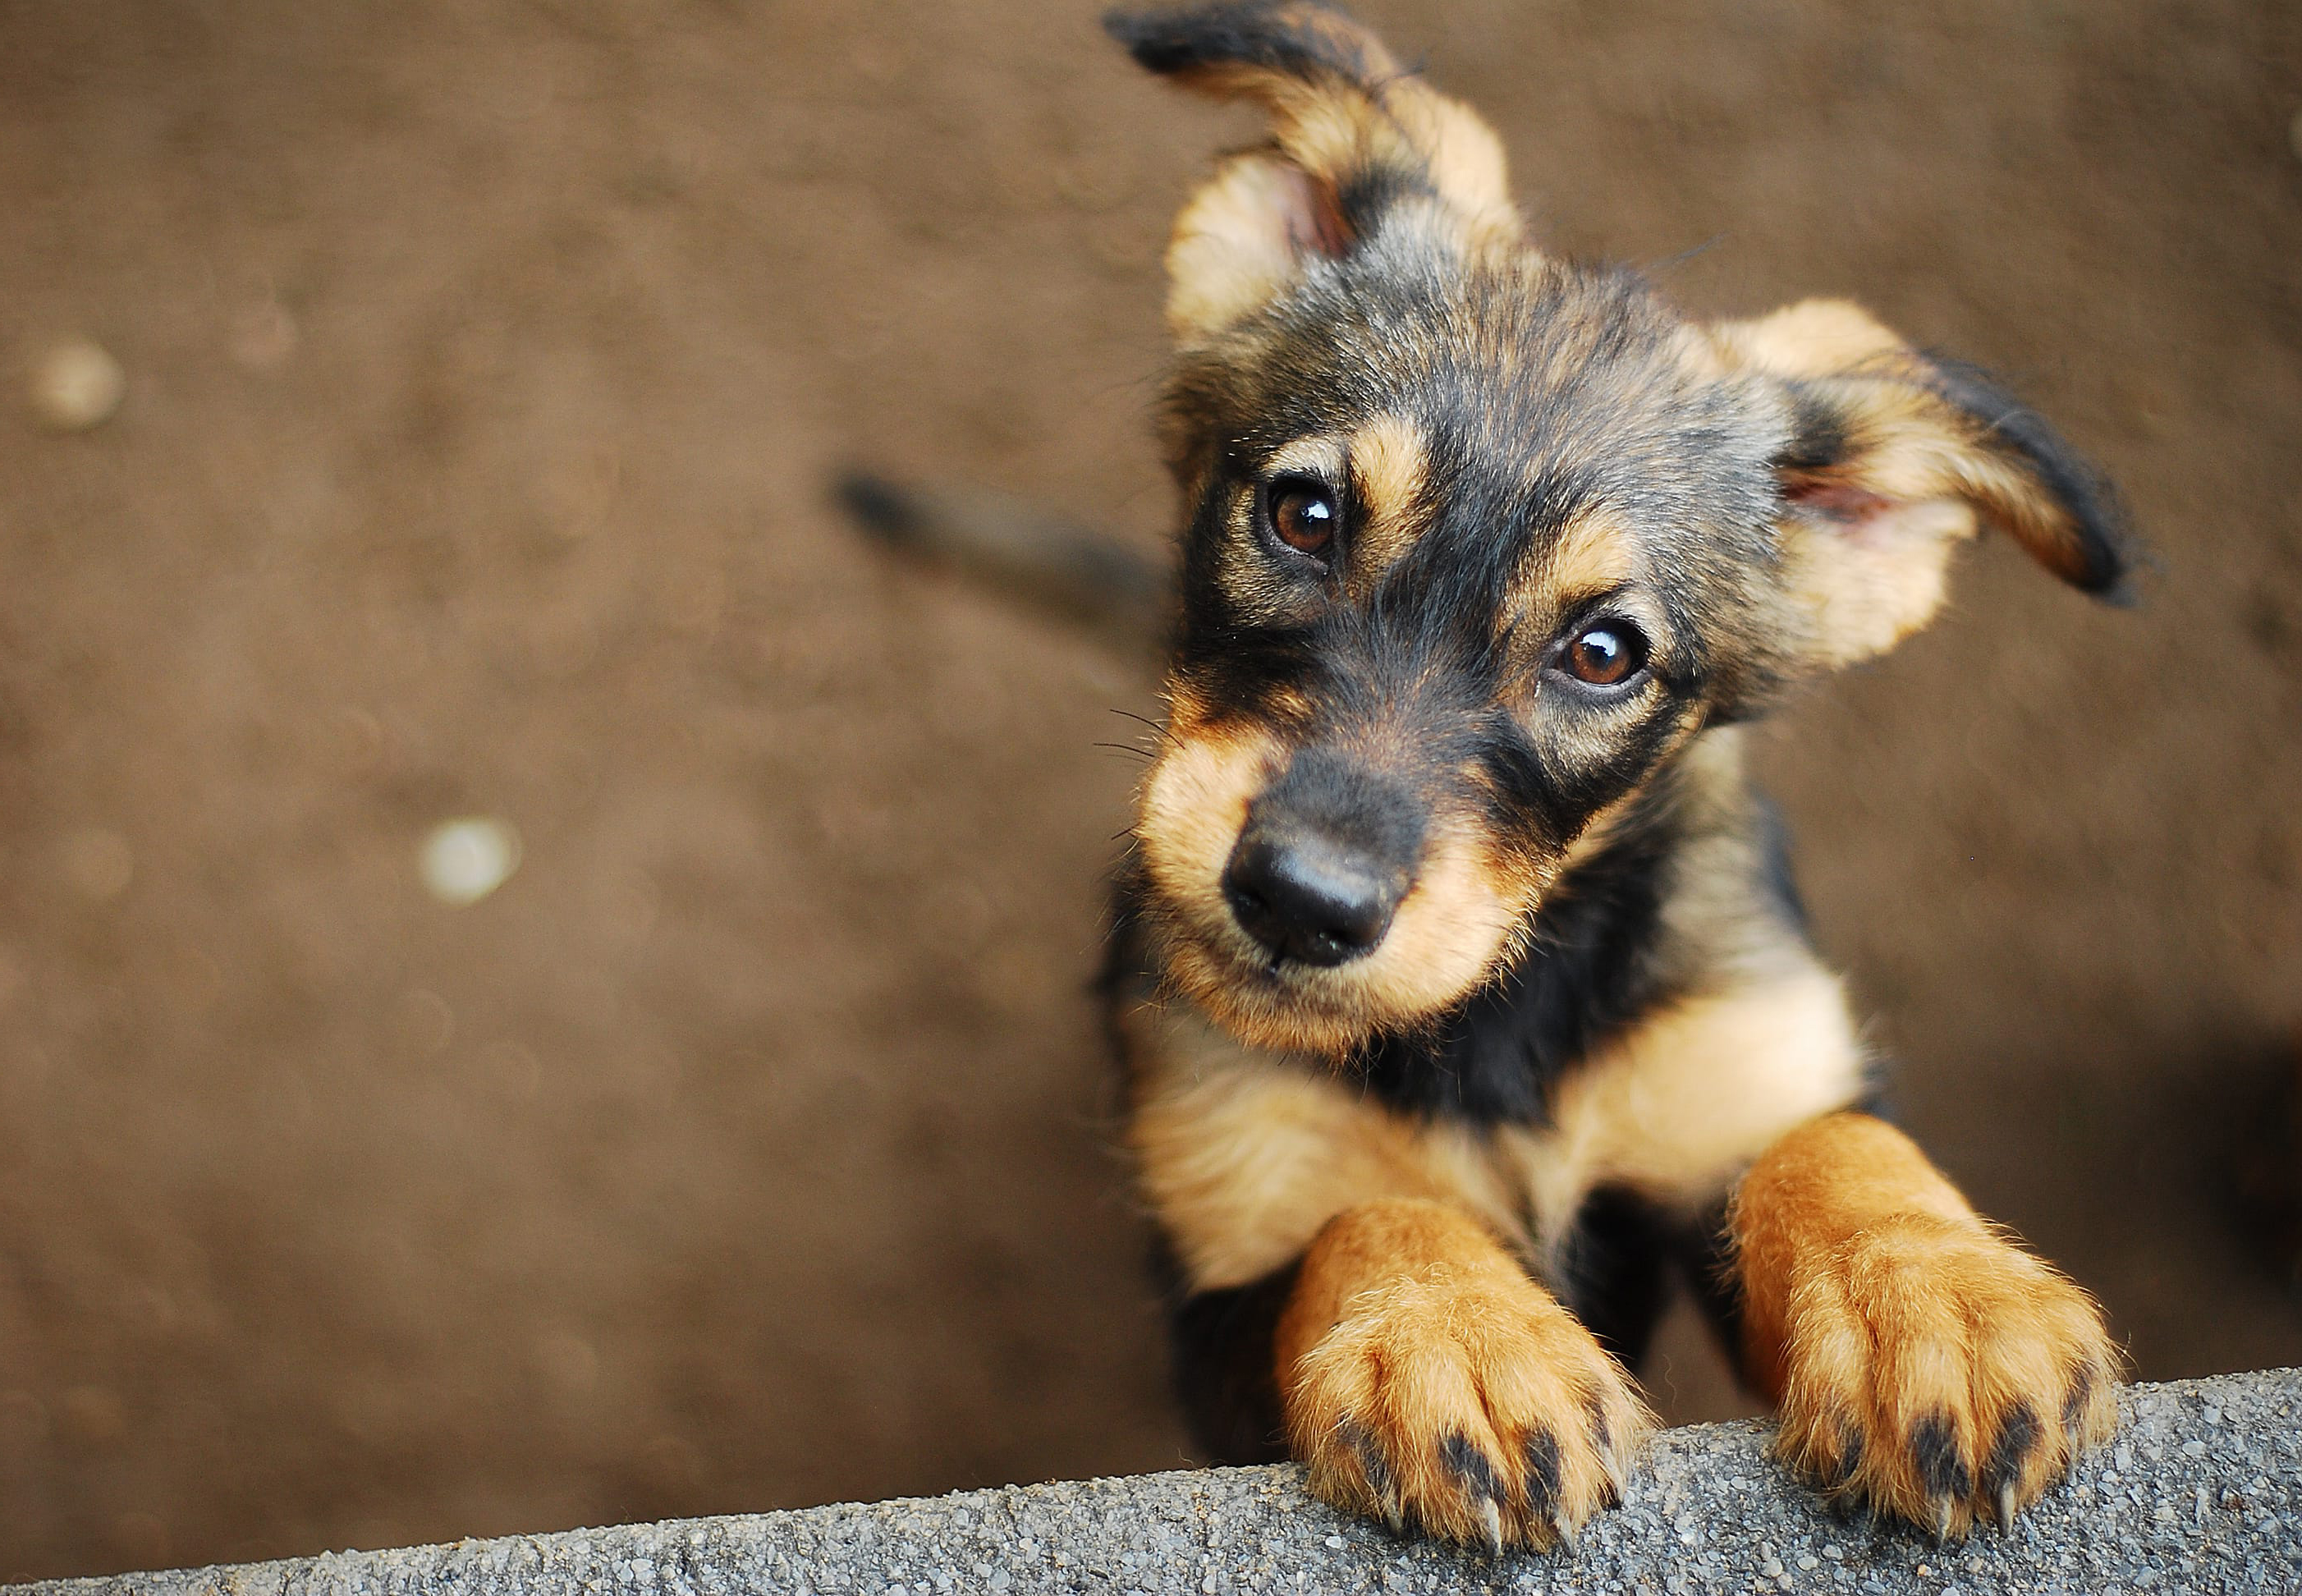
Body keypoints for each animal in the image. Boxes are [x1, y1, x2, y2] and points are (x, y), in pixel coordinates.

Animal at [1086, 0, 2126, 1557]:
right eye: (1302, 513)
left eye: (1601, 653)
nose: (1299, 901)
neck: (1493, 1020)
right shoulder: (1223, 1279)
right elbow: (1364, 1215)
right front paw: (1457, 1336)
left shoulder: (1732, 1066)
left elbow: (1828, 1142)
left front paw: (1937, 1297)